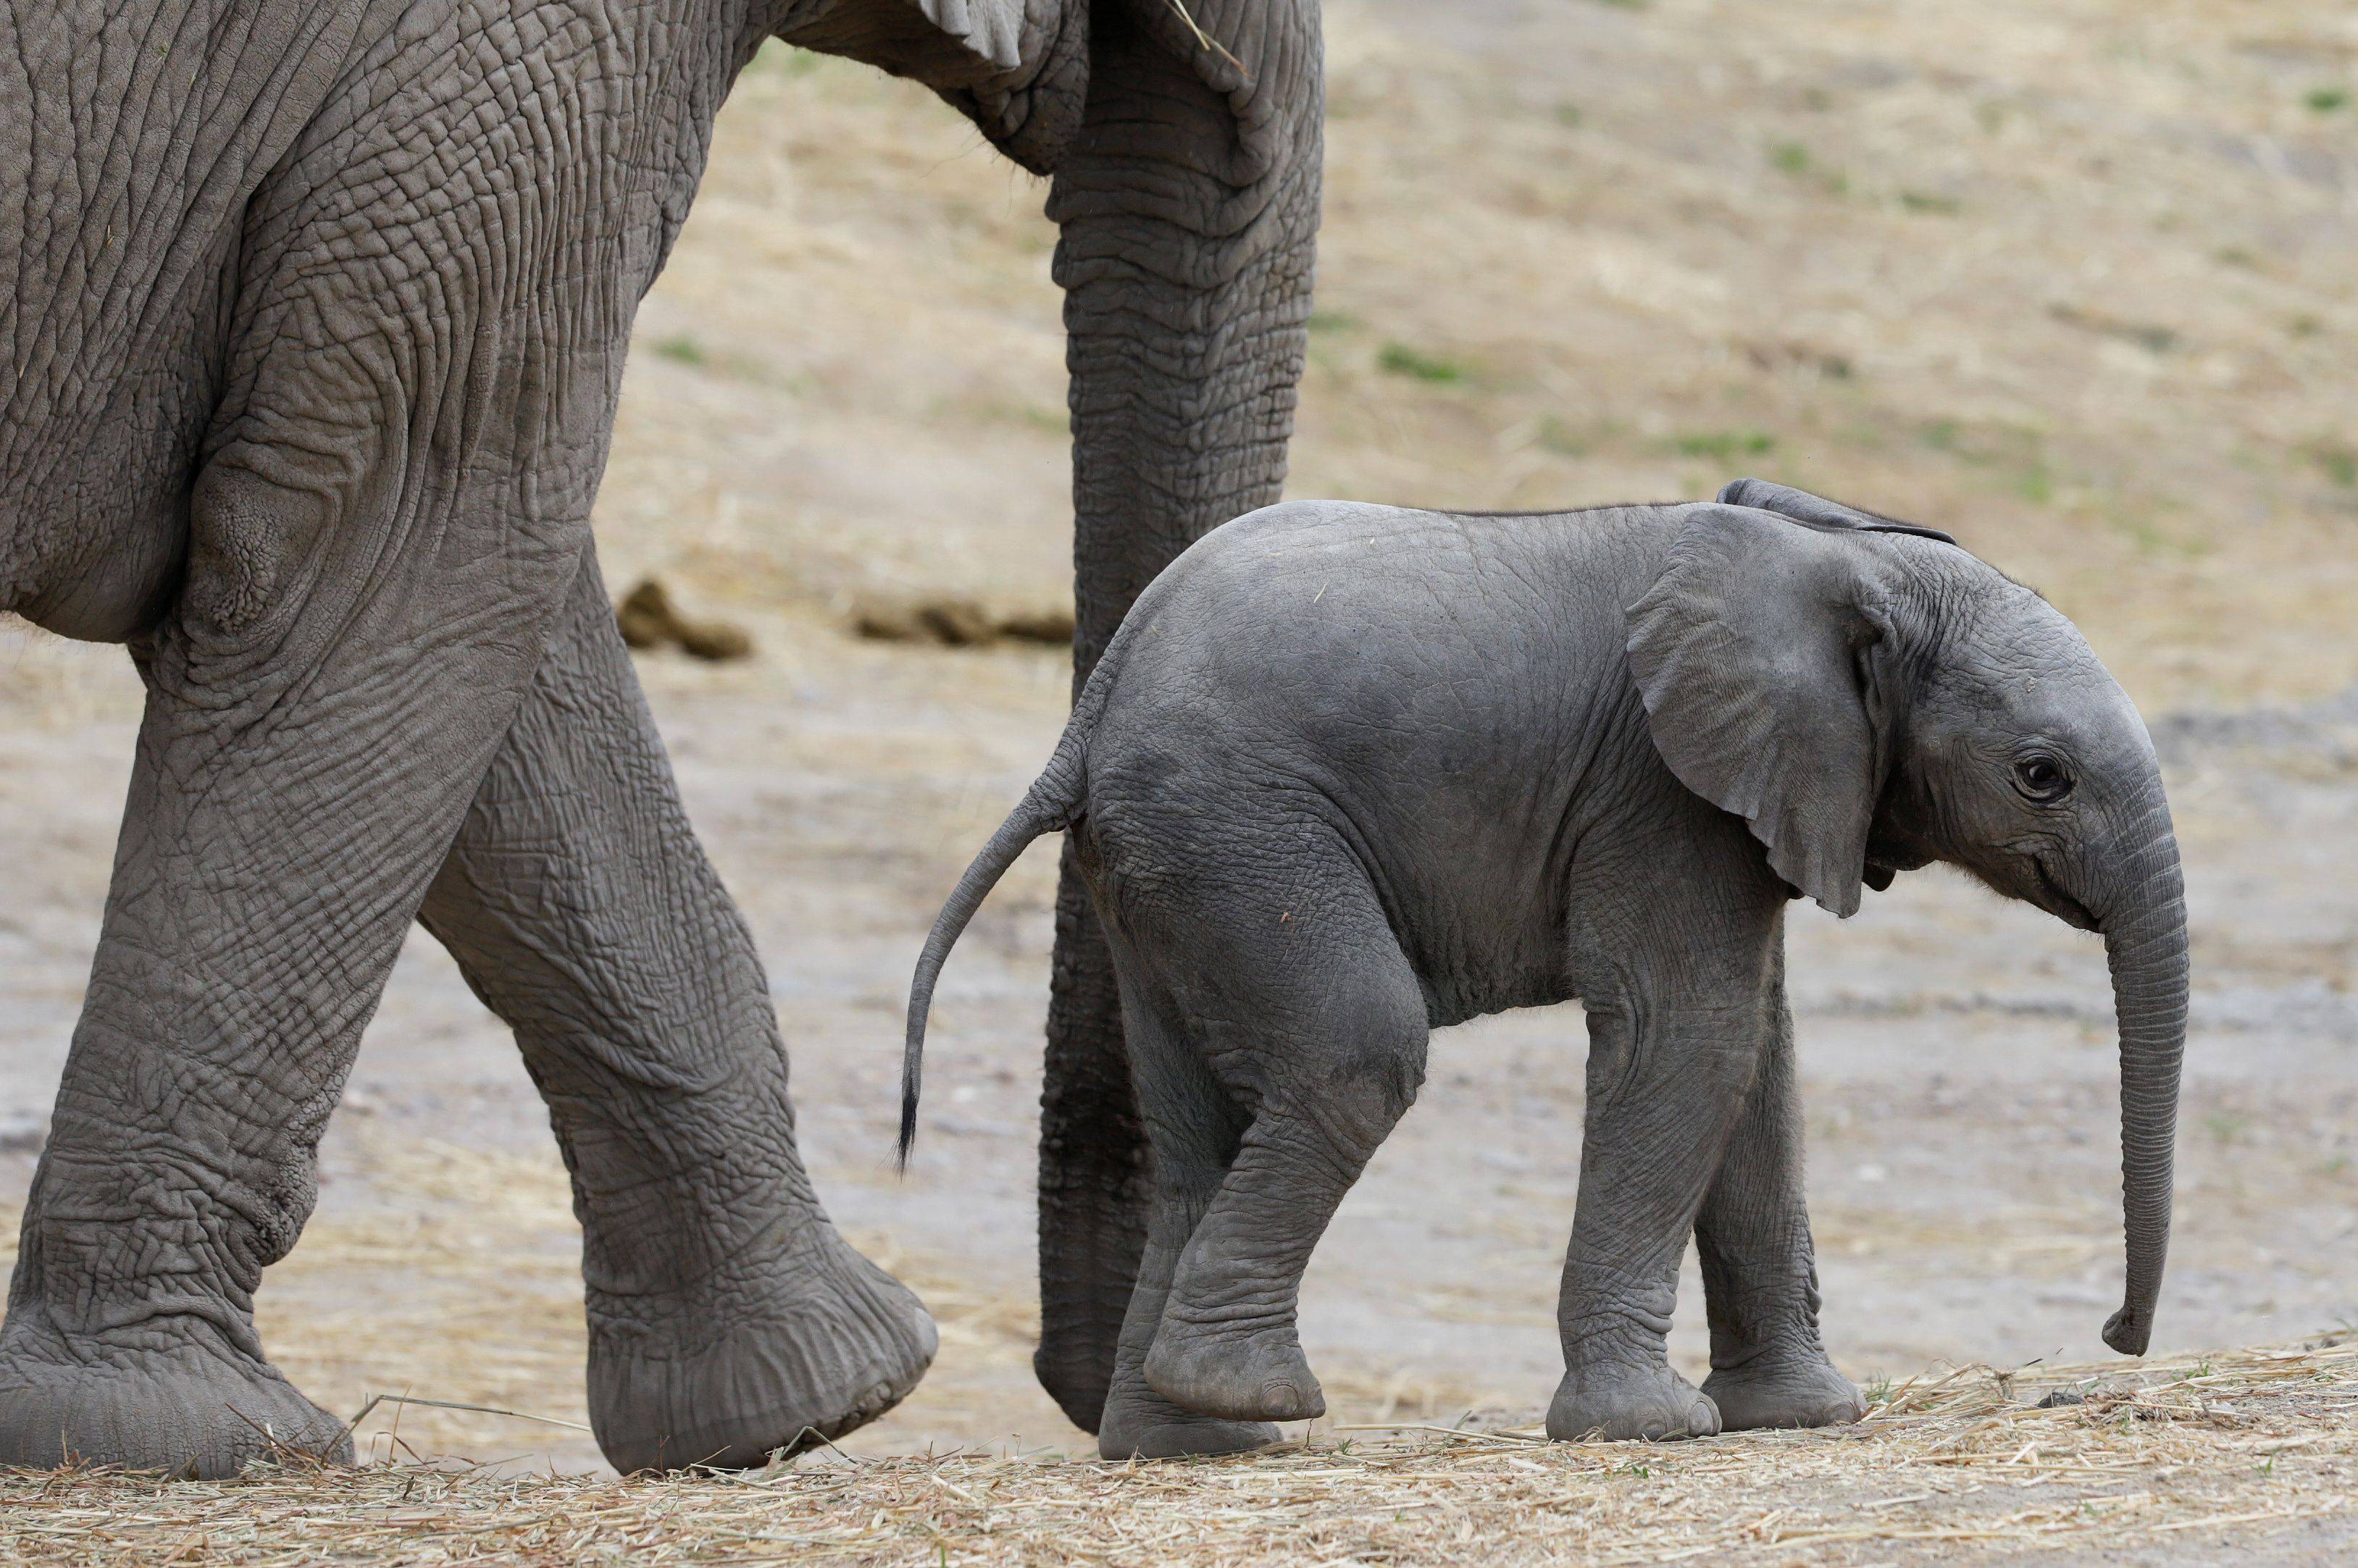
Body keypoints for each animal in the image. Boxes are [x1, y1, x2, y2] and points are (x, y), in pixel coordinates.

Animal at [900, 483, 2188, 1462]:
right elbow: (1688, 1036)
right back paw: (1255, 1401)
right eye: (2038, 775)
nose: (2115, 1335)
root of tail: (1093, 705)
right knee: (1357, 1053)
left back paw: (1185, 1443)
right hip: (1238, 834)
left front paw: (1801, 1416)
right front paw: (1653, 1427)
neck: (1842, 555)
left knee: (1199, 1126)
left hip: (1160, 869)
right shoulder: (1660, 791)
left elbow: (1756, 1062)